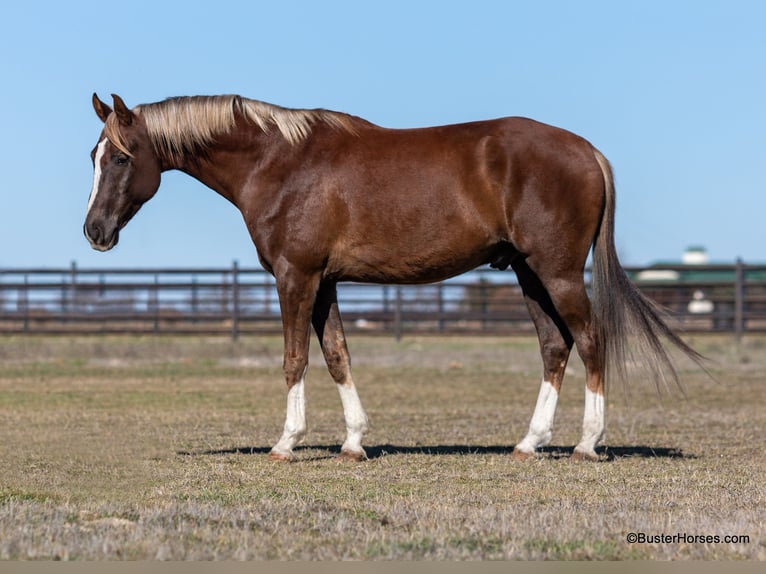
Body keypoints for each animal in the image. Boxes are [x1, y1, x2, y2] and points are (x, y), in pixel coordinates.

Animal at [84, 94, 704, 464]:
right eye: (93, 154)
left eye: (120, 158)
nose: (94, 231)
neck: (279, 162)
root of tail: (588, 151)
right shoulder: (325, 282)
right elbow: (336, 354)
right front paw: (354, 442)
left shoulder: (295, 276)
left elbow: (295, 358)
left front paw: (286, 443)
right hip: (530, 274)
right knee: (556, 347)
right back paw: (529, 443)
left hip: (557, 272)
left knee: (592, 340)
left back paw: (588, 444)